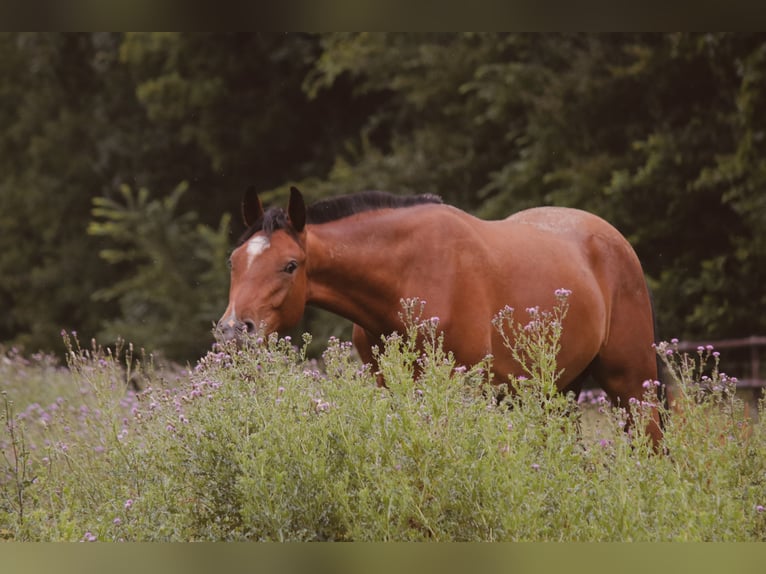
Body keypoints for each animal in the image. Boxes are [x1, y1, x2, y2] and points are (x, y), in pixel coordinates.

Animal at [217, 186, 664, 446]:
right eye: (233, 261)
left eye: (290, 265)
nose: (234, 331)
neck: (408, 274)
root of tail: (614, 240)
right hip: (554, 391)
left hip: (631, 383)